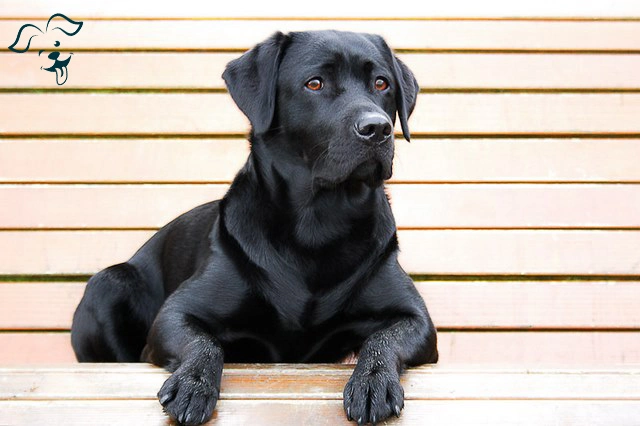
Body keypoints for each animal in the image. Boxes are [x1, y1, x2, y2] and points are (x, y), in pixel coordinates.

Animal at [72, 30, 438, 426]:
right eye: (315, 83)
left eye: (382, 83)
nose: (378, 128)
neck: (319, 225)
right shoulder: (173, 316)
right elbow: (204, 343)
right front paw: (192, 384)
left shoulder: (416, 320)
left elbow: (384, 339)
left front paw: (373, 380)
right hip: (108, 283)